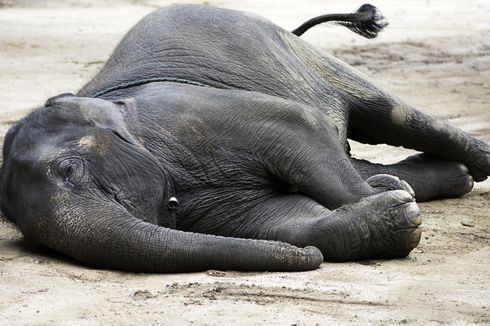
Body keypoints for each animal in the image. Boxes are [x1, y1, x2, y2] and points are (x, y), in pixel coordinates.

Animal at [0, 3, 490, 272]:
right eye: (36, 242)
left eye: (69, 169)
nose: (308, 258)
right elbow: (281, 218)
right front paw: (394, 209)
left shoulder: (192, 114)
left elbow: (295, 126)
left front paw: (392, 202)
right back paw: (424, 181)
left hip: (291, 51)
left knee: (385, 113)